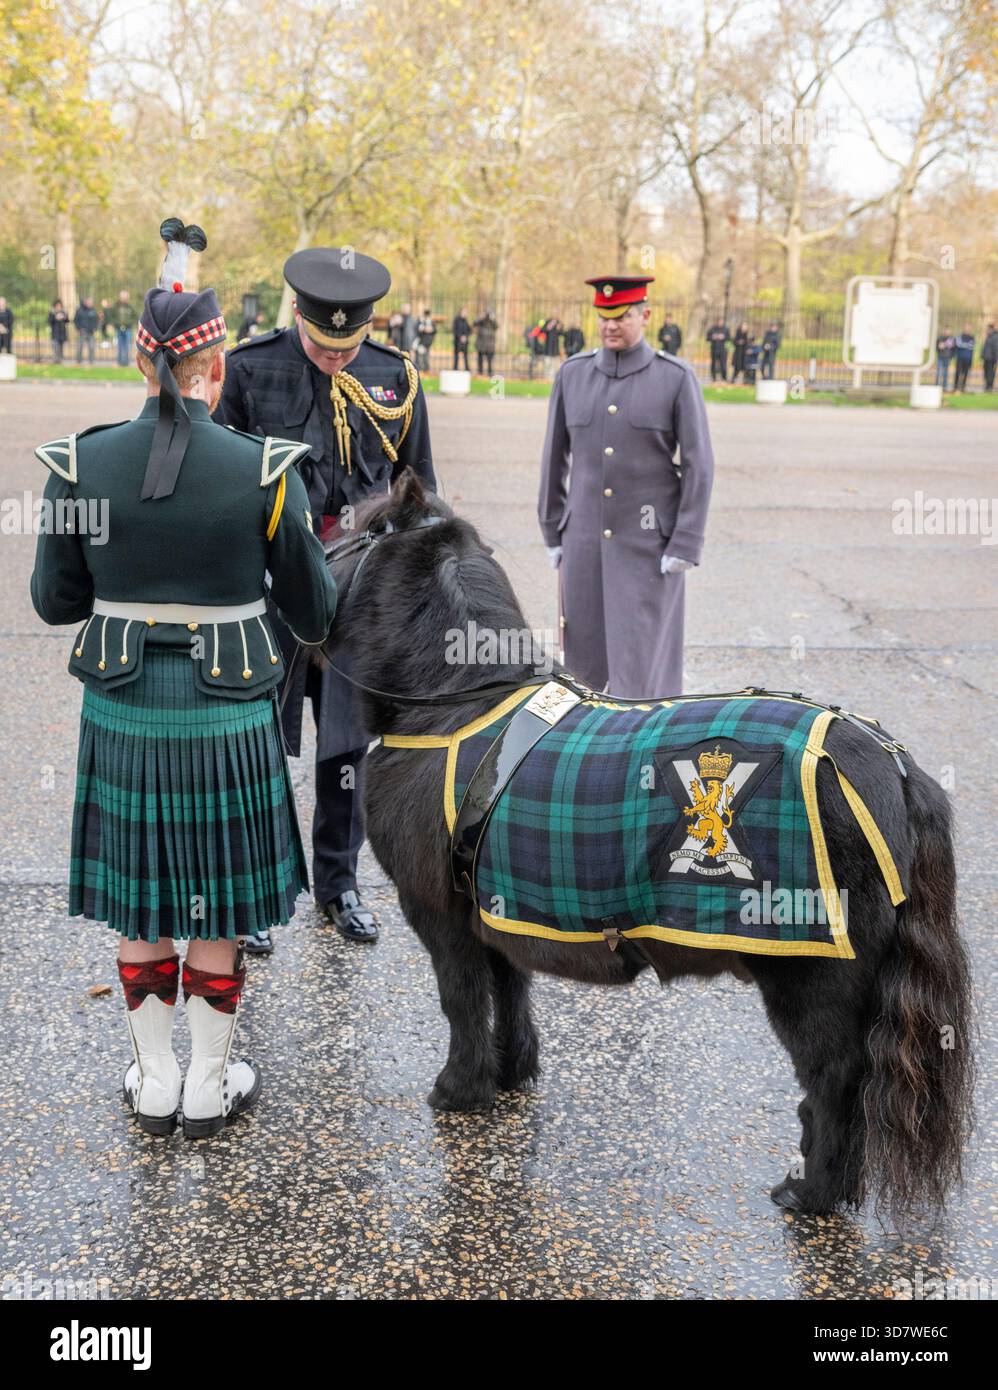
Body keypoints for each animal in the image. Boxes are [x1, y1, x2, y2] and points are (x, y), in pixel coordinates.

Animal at [320, 468, 974, 1222]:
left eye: (349, 527)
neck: (453, 701)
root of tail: (892, 765)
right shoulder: (495, 905)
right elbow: (509, 991)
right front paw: (510, 1075)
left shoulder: (440, 914)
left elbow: (461, 1000)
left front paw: (458, 1091)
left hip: (812, 976)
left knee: (835, 1083)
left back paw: (810, 1193)